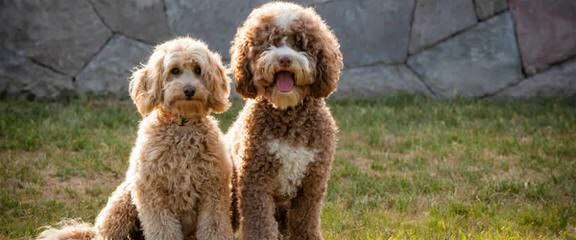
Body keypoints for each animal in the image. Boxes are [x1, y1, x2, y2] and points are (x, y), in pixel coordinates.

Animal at [38, 37, 234, 240]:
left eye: (198, 70)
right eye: (175, 71)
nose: (189, 90)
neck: (183, 126)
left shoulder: (213, 192)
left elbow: (214, 227)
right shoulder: (153, 193)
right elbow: (163, 229)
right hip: (122, 203)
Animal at [225, 2, 342, 240]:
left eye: (300, 43)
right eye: (271, 42)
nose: (285, 59)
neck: (288, 114)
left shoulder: (312, 183)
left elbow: (306, 221)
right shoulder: (256, 181)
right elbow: (260, 224)